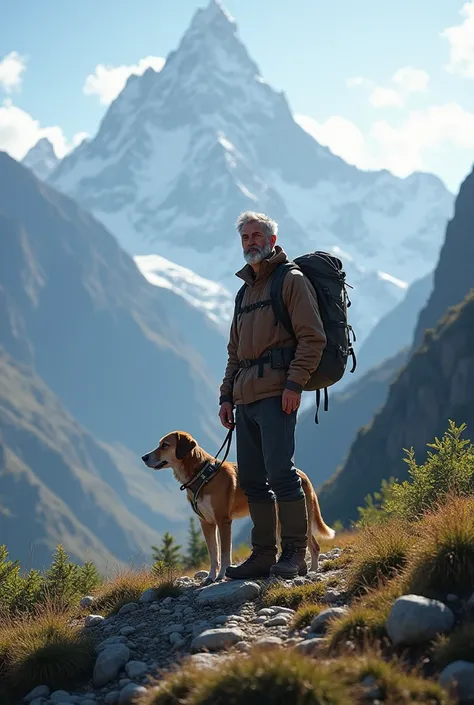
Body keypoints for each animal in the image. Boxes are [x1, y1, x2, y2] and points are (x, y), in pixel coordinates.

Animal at [140, 428, 334, 584]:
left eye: (165, 445)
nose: (144, 457)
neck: (203, 476)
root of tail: (301, 474)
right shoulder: (207, 523)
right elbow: (213, 554)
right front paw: (211, 577)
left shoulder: (223, 521)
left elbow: (225, 552)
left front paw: (221, 576)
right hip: (281, 522)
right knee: (310, 544)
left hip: (297, 519)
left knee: (314, 546)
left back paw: (312, 571)